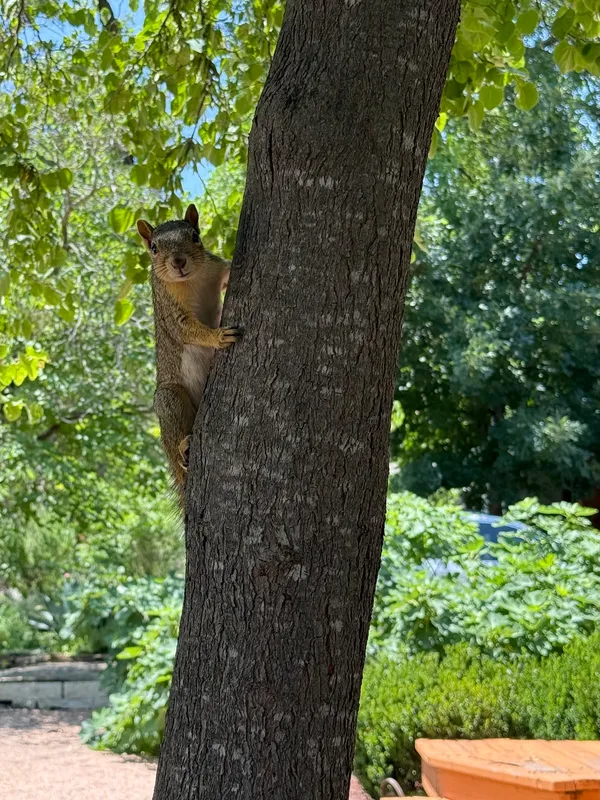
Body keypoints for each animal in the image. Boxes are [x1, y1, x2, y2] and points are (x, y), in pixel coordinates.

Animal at [137, 204, 242, 501]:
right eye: (154, 248)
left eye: (195, 236)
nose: (178, 262)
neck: (192, 280)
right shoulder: (169, 308)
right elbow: (186, 330)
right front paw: (217, 336)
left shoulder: (215, 268)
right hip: (170, 399)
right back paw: (183, 449)